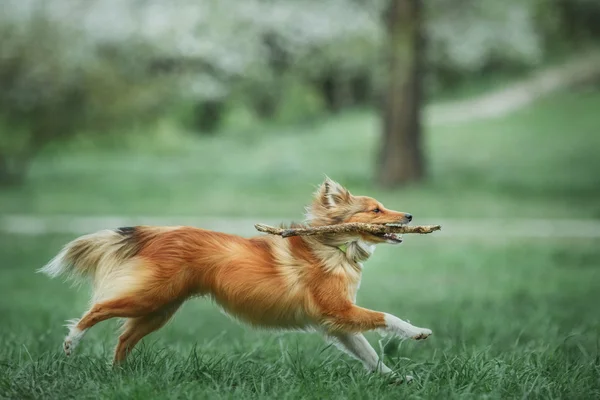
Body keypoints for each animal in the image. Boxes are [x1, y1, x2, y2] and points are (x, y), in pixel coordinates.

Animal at [38, 177, 432, 376]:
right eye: (375, 210)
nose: (411, 216)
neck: (333, 246)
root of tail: (160, 232)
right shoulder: (340, 312)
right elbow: (387, 318)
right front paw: (418, 332)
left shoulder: (337, 324)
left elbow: (370, 355)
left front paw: (396, 379)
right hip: (147, 298)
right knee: (96, 311)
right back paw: (72, 343)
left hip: (158, 311)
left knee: (123, 338)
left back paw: (118, 376)